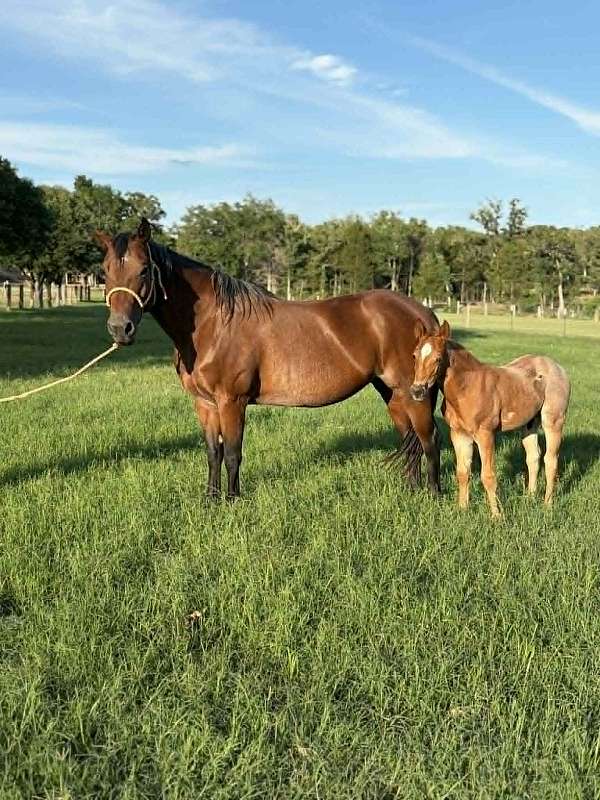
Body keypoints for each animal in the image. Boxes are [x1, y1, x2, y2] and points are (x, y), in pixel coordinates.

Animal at [95, 218, 441, 499]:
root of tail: (424, 315)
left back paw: (433, 495)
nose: (120, 329)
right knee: (410, 438)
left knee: (429, 439)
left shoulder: (231, 401)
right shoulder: (205, 404)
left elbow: (232, 453)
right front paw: (210, 499)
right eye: (106, 271)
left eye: (143, 268)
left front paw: (232, 501)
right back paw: (412, 491)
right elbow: (213, 453)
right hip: (392, 393)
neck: (214, 324)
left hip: (415, 395)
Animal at [409, 319, 570, 516]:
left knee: (551, 460)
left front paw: (497, 515)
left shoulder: (485, 434)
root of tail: (557, 367)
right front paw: (462, 509)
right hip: (529, 424)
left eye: (438, 358)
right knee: (533, 457)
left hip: (553, 421)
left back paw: (547, 505)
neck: (467, 388)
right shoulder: (459, 434)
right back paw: (530, 499)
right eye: (414, 356)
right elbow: (462, 473)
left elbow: (488, 475)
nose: (417, 391)